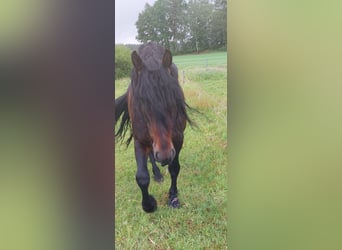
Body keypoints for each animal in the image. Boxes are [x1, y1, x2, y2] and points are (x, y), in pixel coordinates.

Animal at [116, 42, 194, 213]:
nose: (164, 156)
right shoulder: (139, 140)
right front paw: (149, 204)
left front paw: (173, 197)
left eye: (173, 99)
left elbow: (174, 168)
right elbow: (141, 176)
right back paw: (157, 174)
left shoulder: (178, 138)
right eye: (141, 102)